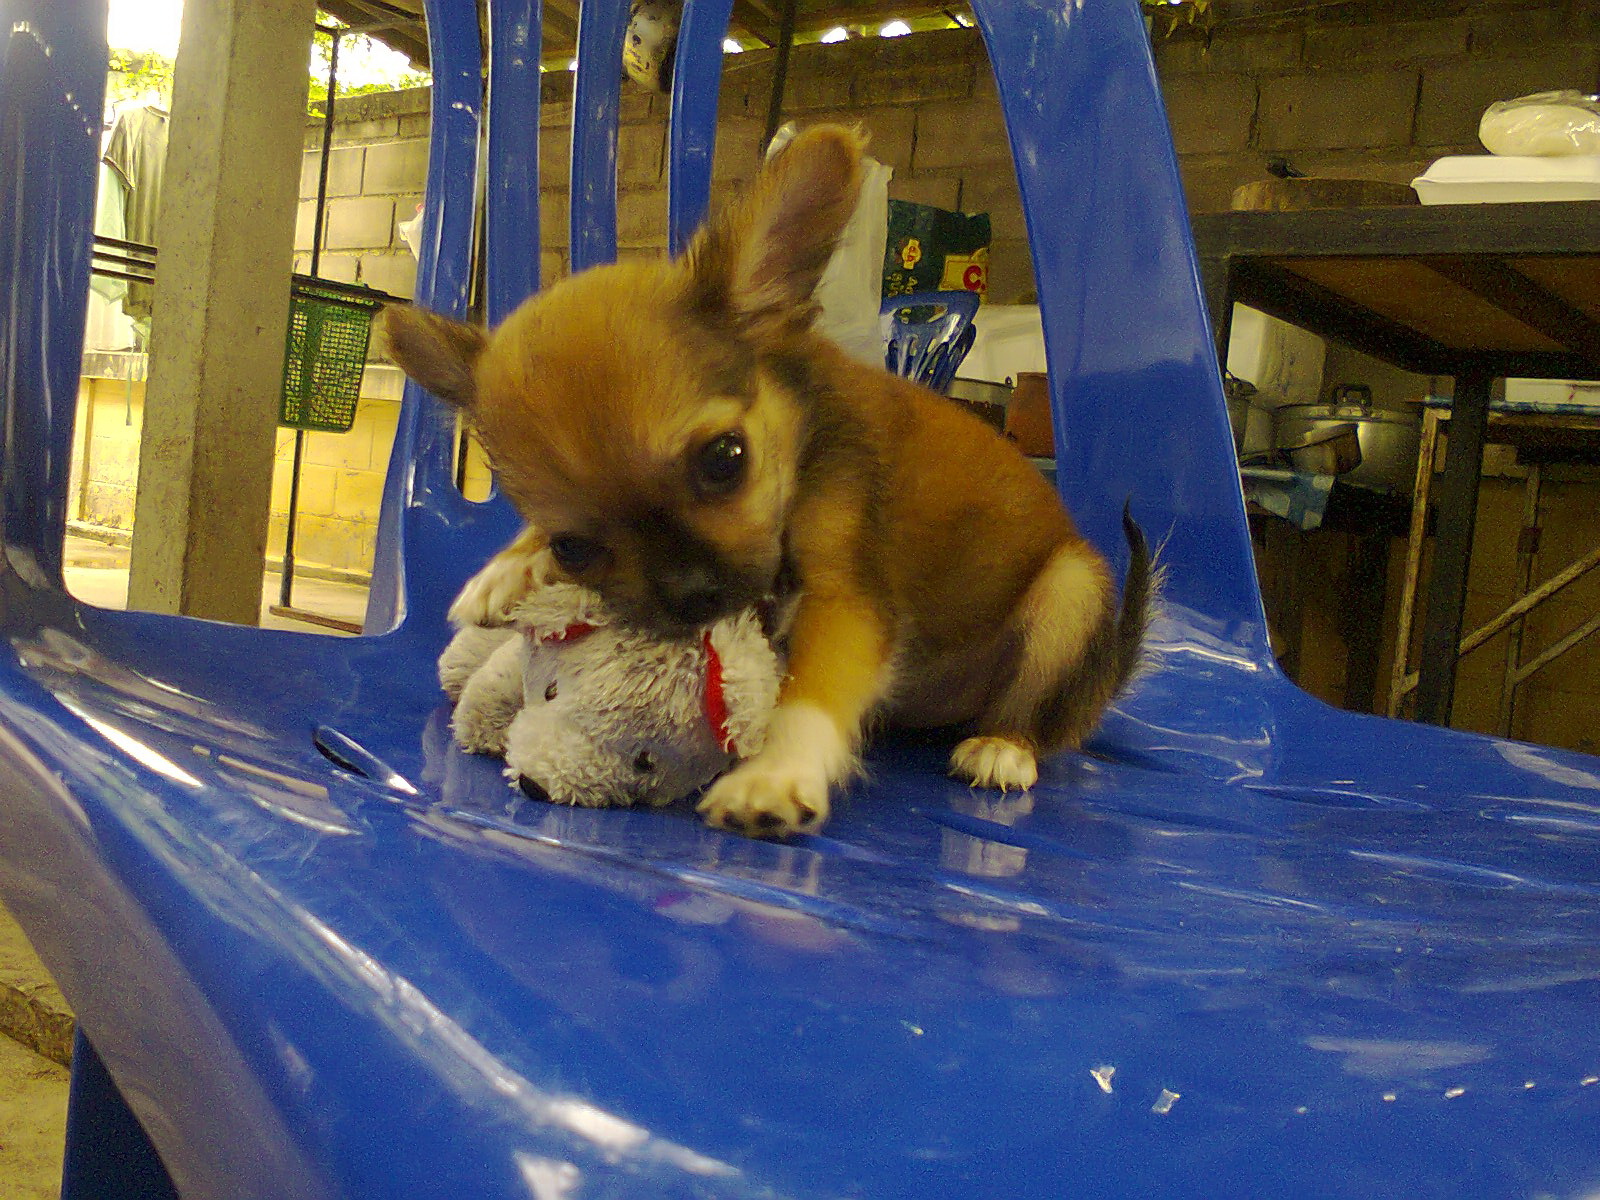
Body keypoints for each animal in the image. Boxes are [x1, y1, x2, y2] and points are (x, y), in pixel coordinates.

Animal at [383, 124, 1151, 839]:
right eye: (573, 547)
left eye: (725, 459)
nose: (693, 597)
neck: (803, 439)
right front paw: (506, 570)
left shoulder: (847, 599)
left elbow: (811, 692)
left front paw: (775, 774)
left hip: (1072, 593)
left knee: (1037, 716)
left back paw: (1003, 747)